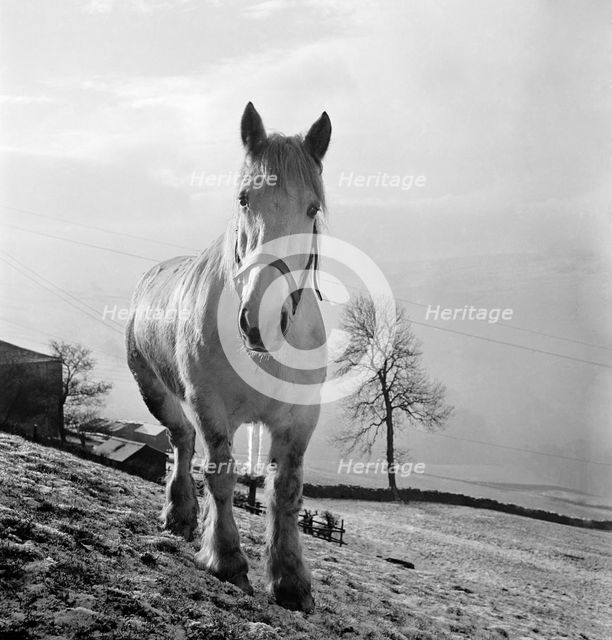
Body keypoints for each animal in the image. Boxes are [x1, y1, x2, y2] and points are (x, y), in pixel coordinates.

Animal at [126, 102, 331, 612]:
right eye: (243, 200)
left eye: (312, 208)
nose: (260, 320)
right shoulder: (210, 407)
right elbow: (220, 477)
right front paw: (225, 557)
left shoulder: (299, 420)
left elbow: (286, 492)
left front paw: (290, 579)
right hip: (157, 393)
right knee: (180, 441)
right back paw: (179, 513)